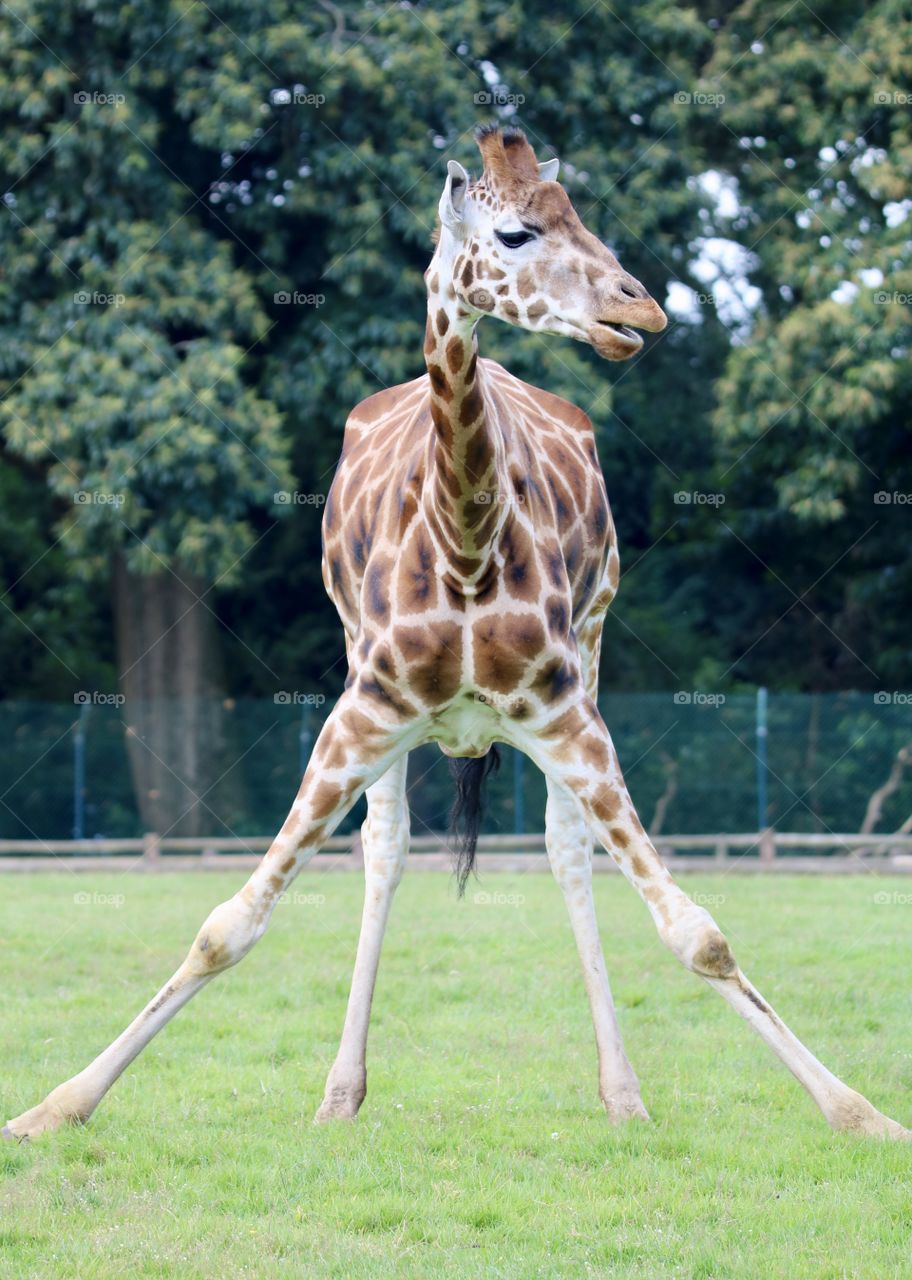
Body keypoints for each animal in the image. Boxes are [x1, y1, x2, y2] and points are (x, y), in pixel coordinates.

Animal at [5, 126, 907, 1141]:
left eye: (579, 216)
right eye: (514, 233)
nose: (640, 306)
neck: (466, 546)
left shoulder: (566, 714)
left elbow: (696, 933)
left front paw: (861, 1113)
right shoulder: (362, 711)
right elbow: (228, 925)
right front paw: (55, 1106)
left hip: (595, 643)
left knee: (564, 849)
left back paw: (621, 1093)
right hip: (369, 682)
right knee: (387, 848)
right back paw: (341, 1093)